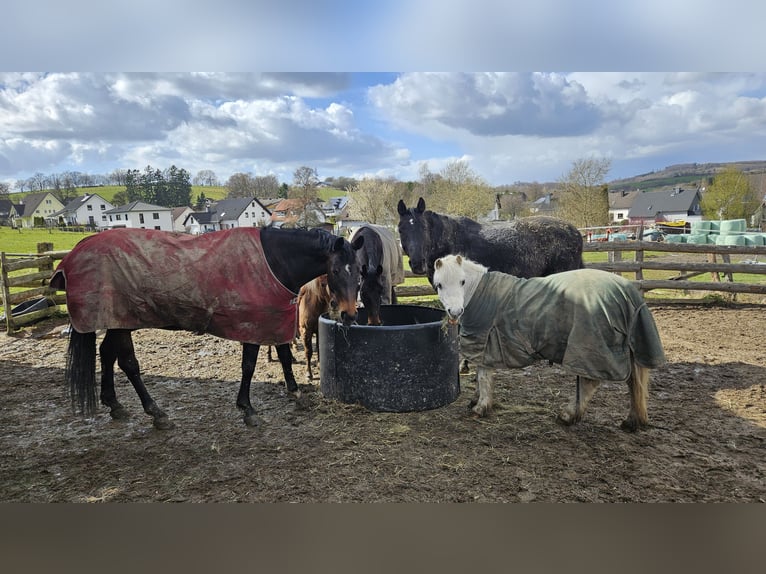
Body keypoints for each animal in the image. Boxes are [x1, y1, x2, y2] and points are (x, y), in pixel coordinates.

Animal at [49, 226, 364, 429]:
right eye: (336, 270)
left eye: (360, 271)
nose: (349, 314)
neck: (274, 261)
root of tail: (78, 250)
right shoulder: (253, 325)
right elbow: (249, 366)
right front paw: (248, 410)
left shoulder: (273, 321)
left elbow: (285, 357)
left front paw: (296, 394)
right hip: (122, 320)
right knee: (128, 363)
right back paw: (156, 413)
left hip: (117, 321)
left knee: (107, 354)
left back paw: (114, 405)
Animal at [432, 254, 666, 431]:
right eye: (439, 285)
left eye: (462, 281)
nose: (455, 312)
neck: (479, 292)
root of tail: (627, 290)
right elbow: (481, 378)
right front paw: (476, 400)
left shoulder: (484, 344)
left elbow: (483, 377)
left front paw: (480, 407)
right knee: (633, 384)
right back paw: (631, 420)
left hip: (590, 348)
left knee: (590, 382)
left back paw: (568, 415)